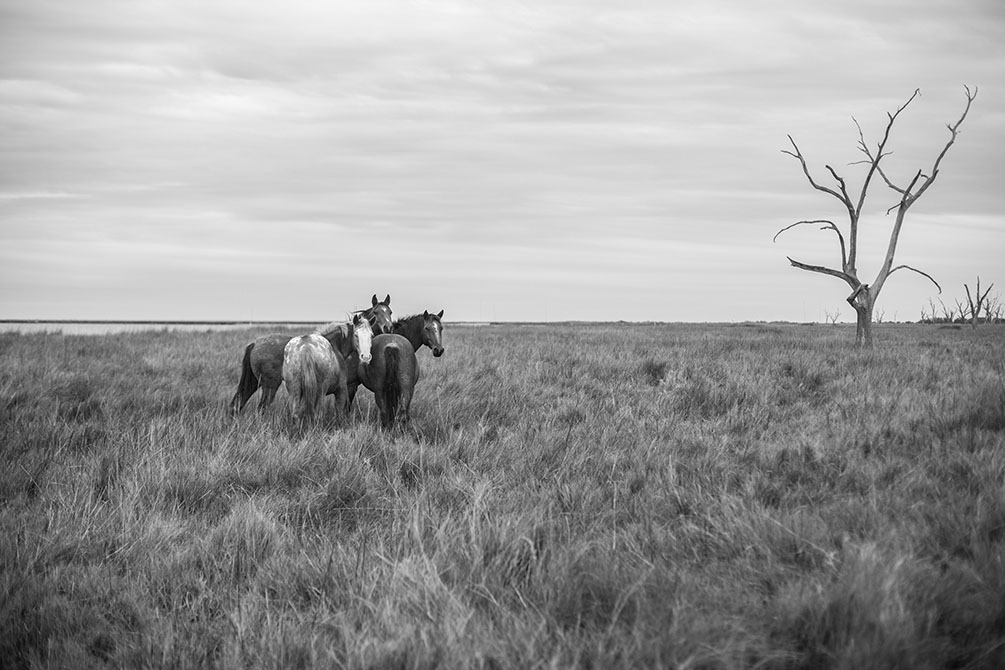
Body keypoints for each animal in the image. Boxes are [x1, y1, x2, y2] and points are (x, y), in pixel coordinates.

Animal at [231, 293, 391, 413]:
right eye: (376, 312)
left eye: (390, 312)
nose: (388, 328)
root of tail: (255, 343)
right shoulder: (347, 386)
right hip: (270, 386)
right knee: (261, 408)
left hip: (255, 382)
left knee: (237, 402)